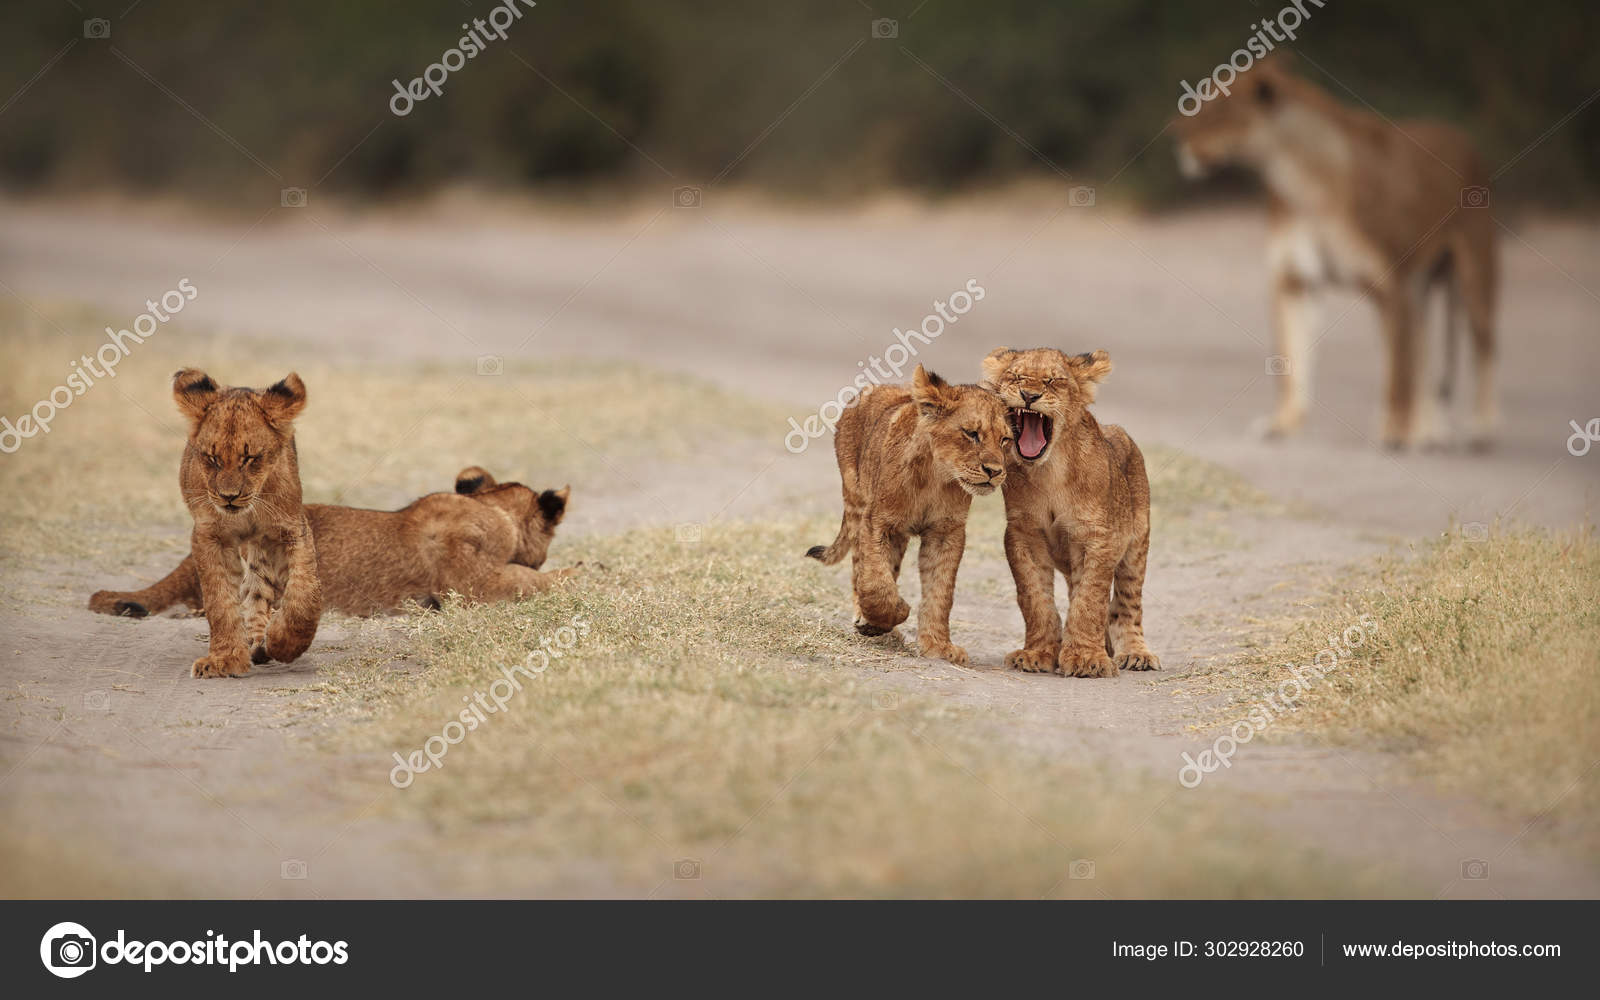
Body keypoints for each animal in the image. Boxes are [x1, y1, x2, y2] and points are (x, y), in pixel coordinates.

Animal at [170, 368, 323, 678]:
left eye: (250, 458)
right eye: (212, 458)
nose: (229, 497)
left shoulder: (291, 529)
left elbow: (304, 594)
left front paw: (284, 643)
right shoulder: (209, 535)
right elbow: (219, 601)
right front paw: (224, 660)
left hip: (262, 544)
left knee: (259, 587)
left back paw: (262, 644)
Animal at [806, 364, 1010, 665]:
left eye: (1005, 439)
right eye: (972, 433)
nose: (995, 471)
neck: (936, 477)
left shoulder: (946, 532)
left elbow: (940, 591)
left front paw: (938, 645)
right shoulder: (877, 522)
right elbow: (875, 581)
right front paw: (891, 614)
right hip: (856, 501)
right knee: (859, 569)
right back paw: (870, 621)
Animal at [982, 348, 1159, 678]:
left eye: (1054, 381)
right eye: (1016, 377)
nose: (1029, 395)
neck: (1049, 470)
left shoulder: (1098, 538)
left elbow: (1089, 601)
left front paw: (1086, 658)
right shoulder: (1023, 535)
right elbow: (1035, 599)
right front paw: (1038, 653)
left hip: (1136, 545)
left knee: (1126, 605)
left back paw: (1135, 654)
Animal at [1173, 53, 1497, 449]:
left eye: (1218, 107)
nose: (1176, 132)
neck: (1300, 180)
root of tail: (1463, 137)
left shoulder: (1390, 283)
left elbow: (1397, 373)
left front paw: (1394, 433)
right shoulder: (1293, 282)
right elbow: (1290, 359)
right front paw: (1282, 424)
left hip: (1474, 271)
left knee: (1482, 346)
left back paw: (1479, 428)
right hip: (1420, 286)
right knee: (1423, 350)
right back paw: (1427, 432)